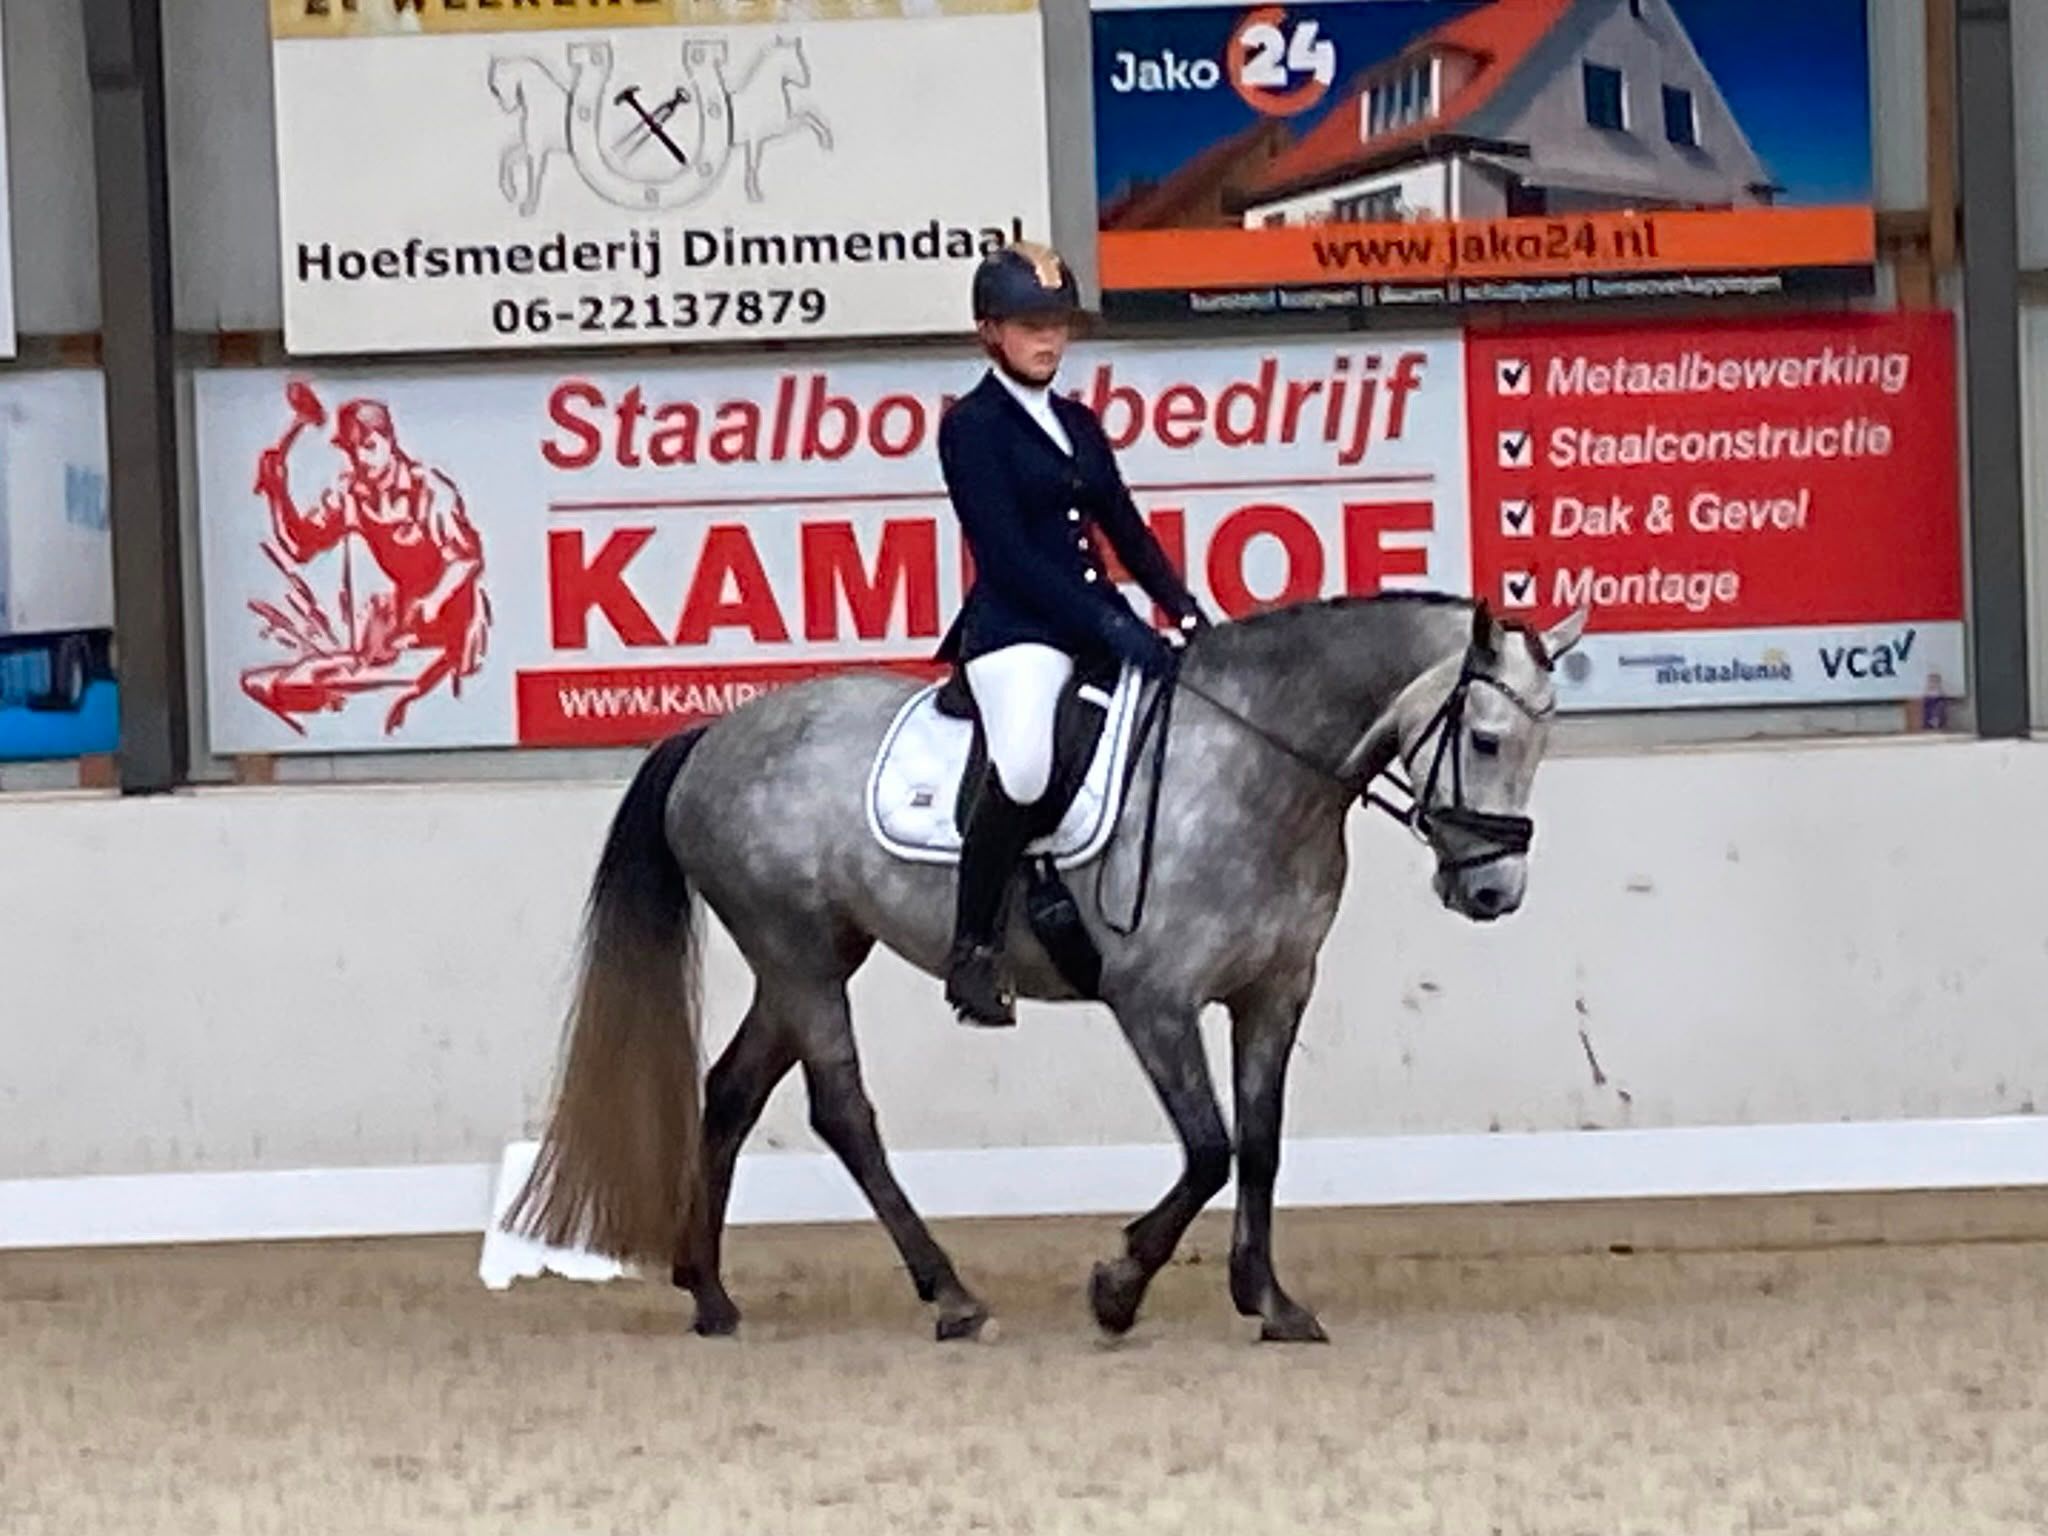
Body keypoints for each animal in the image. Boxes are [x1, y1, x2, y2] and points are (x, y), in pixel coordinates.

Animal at [503, 591, 1588, 1343]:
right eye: (1485, 738)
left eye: (1539, 747)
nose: (1494, 892)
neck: (1259, 771)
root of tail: (709, 737)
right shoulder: (1152, 1000)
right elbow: (1208, 1147)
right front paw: (1118, 1288)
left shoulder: (1274, 994)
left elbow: (1261, 1143)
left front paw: (1270, 1301)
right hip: (797, 953)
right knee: (842, 1111)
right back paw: (950, 1296)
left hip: (810, 957)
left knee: (731, 1093)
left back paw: (712, 1294)